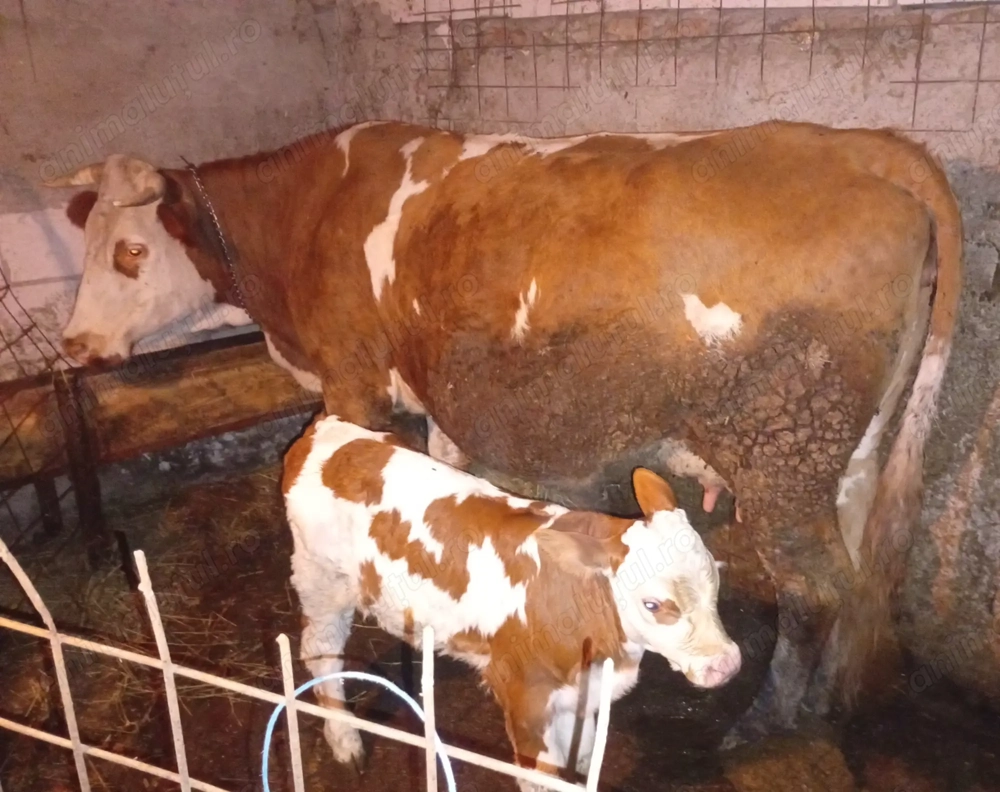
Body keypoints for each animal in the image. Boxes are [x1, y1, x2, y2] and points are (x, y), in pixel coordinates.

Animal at [46, 119, 963, 741]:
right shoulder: (442, 404)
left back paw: (767, 721)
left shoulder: (352, 383)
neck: (312, 215)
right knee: (850, 580)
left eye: (130, 252)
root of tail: (866, 145)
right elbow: (445, 491)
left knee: (813, 592)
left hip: (780, 452)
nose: (74, 344)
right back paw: (819, 704)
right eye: (88, 246)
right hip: (843, 456)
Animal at [281, 412, 741, 789]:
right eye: (652, 604)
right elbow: (542, 775)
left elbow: (580, 755)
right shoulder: (522, 694)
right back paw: (345, 740)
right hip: (322, 582)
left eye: (715, 578)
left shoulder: (578, 693)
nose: (727, 664)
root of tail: (324, 432)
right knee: (321, 650)